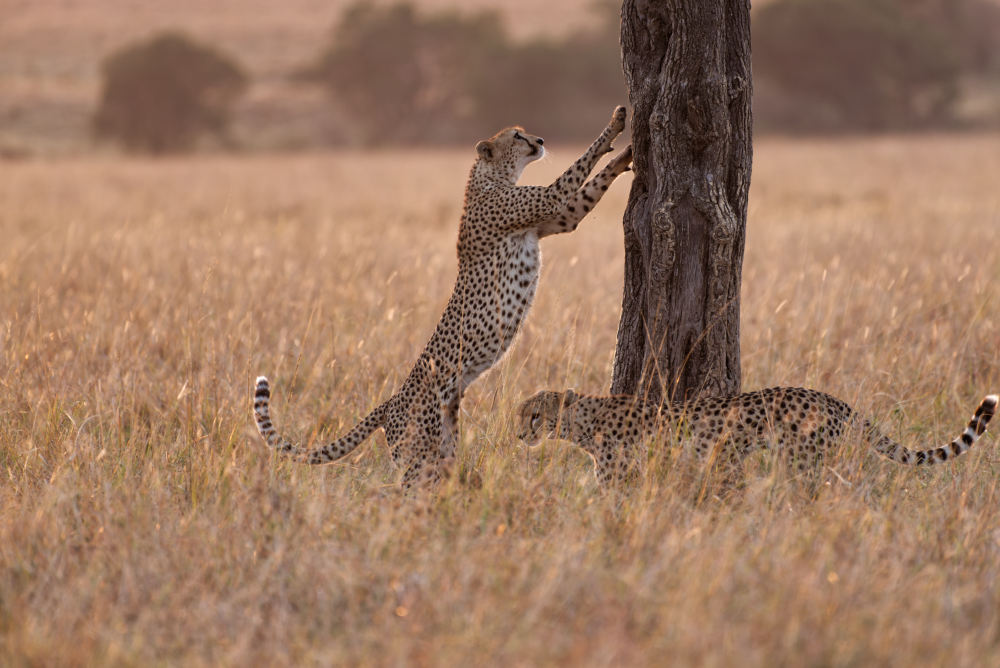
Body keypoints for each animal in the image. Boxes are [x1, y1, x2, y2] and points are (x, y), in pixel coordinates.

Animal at [256, 107, 632, 488]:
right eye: (516, 136)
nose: (540, 141)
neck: (489, 176)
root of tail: (391, 401)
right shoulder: (548, 201)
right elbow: (579, 165)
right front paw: (616, 126)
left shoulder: (560, 218)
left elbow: (590, 188)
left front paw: (624, 157)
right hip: (419, 460)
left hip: (445, 453)